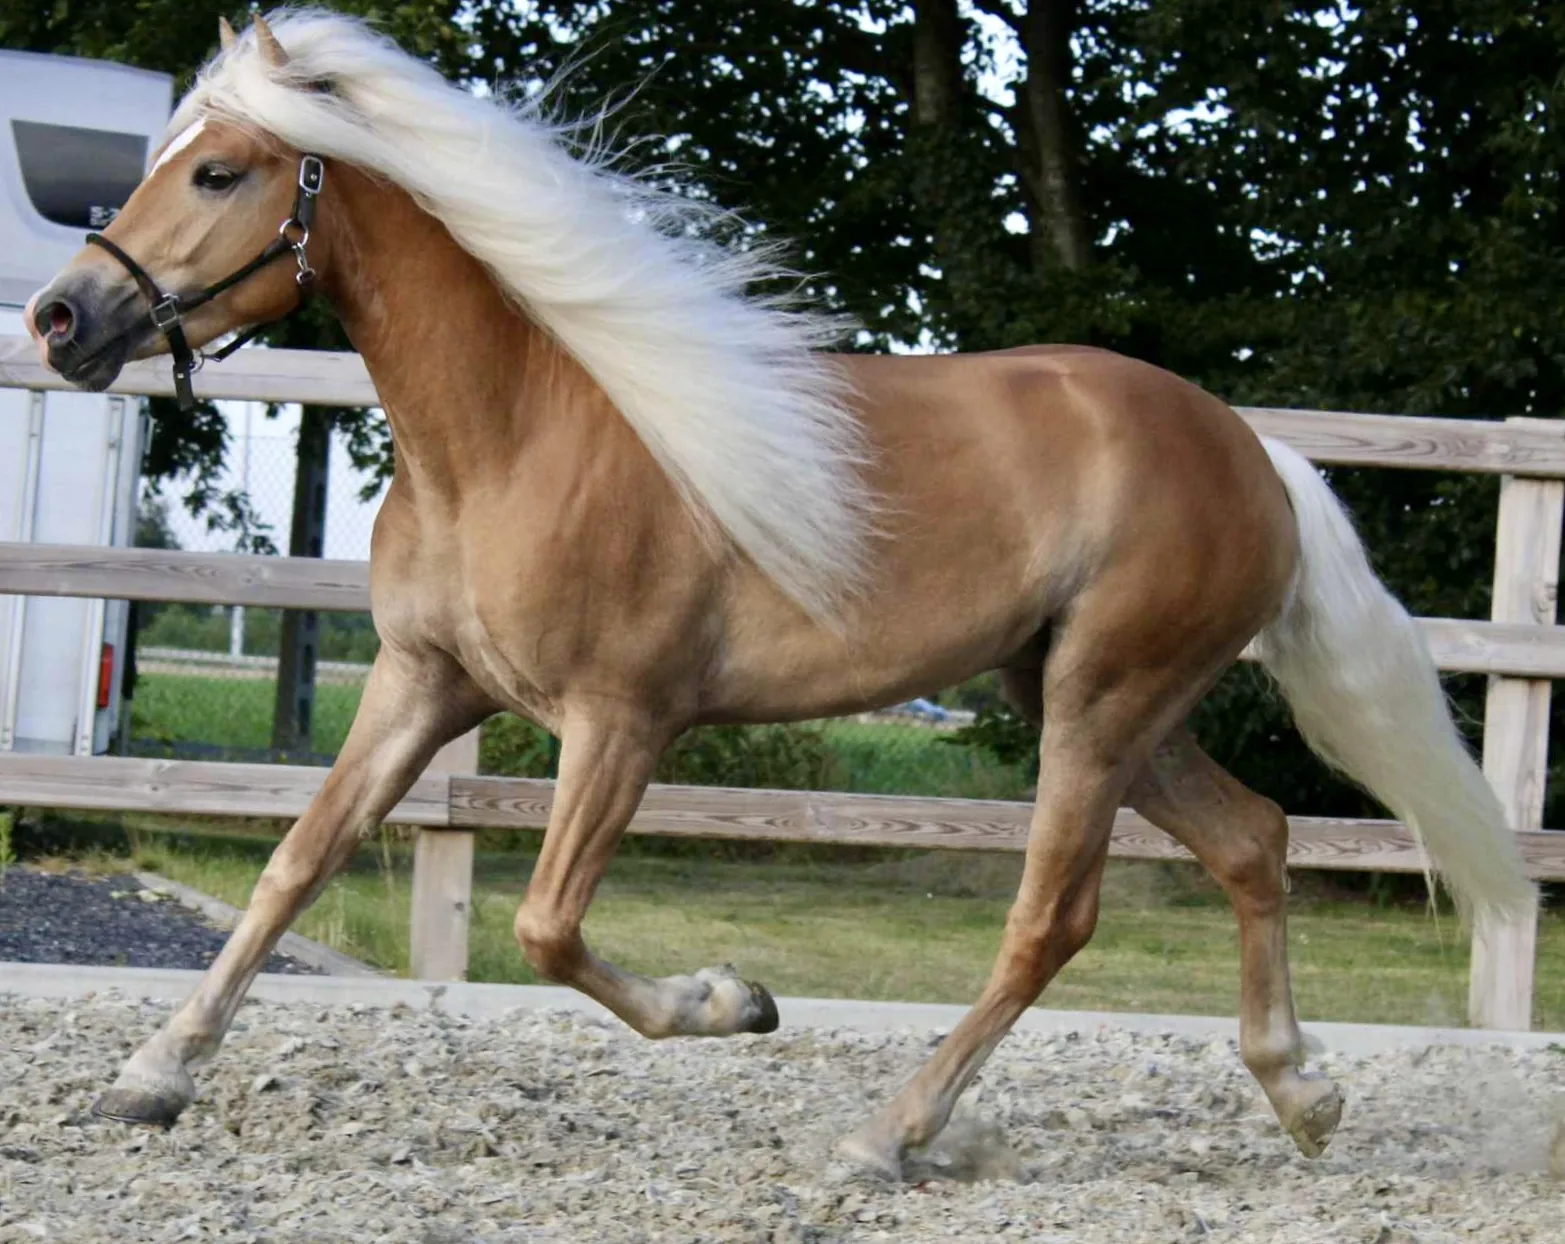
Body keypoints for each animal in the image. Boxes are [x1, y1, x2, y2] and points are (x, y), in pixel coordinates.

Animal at [25, 10, 1532, 1179]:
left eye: (219, 169)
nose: (60, 319)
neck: (514, 437)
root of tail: (1254, 452)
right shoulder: (421, 684)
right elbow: (296, 862)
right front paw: (151, 1075)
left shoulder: (620, 722)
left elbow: (546, 927)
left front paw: (734, 1001)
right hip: (1099, 703)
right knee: (1254, 841)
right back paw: (1302, 1091)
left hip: (1101, 706)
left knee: (1051, 921)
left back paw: (888, 1136)